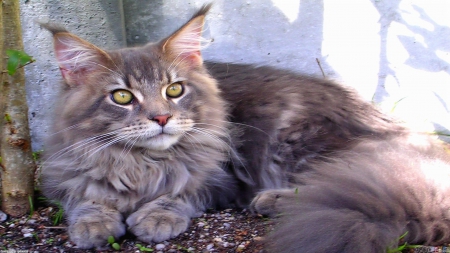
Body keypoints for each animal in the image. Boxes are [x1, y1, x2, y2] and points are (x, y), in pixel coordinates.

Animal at [41, 3, 450, 253]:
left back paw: (271, 200)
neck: (144, 165)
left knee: (339, 179)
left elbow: (180, 193)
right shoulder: (66, 173)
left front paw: (156, 216)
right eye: (122, 97)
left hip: (295, 142)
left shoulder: (219, 180)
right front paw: (93, 224)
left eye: (174, 90)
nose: (161, 118)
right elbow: (87, 198)